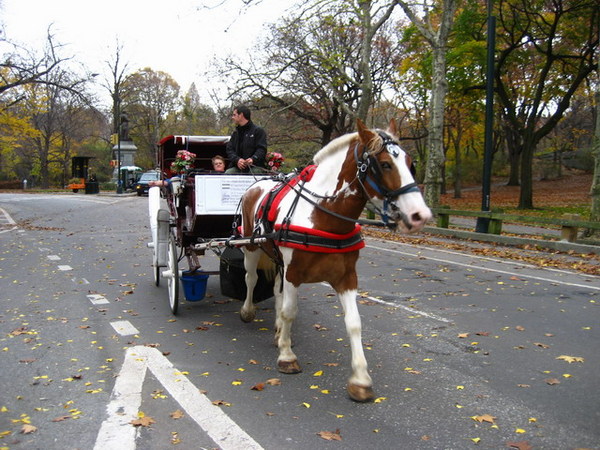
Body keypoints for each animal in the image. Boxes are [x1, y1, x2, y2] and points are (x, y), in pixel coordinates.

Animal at [237, 118, 428, 400]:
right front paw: (287, 356)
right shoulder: (294, 273)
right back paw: (248, 311)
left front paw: (360, 379)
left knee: (276, 289)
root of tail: (256, 184)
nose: (420, 215)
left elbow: (354, 323)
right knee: (250, 278)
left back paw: (278, 331)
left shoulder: (346, 277)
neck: (322, 214)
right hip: (251, 248)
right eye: (384, 164)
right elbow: (290, 311)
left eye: (410, 163)